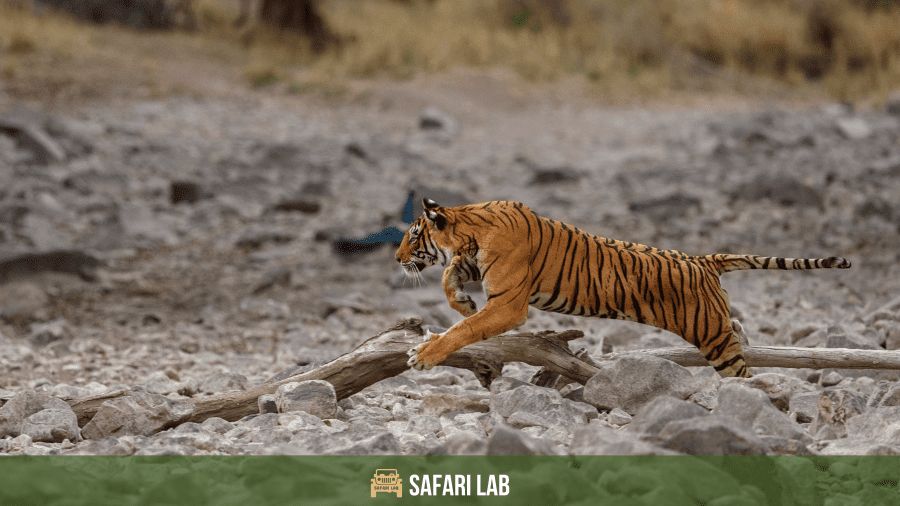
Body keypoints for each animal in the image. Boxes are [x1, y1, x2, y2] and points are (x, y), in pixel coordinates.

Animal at [394, 199, 851, 378]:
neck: (471, 228)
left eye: (413, 236)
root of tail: (703, 260)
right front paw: (462, 303)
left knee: (741, 370)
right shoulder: (472, 264)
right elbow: (448, 279)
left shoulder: (509, 304)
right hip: (719, 325)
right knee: (739, 332)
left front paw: (425, 353)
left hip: (712, 336)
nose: (397, 258)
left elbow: (465, 331)